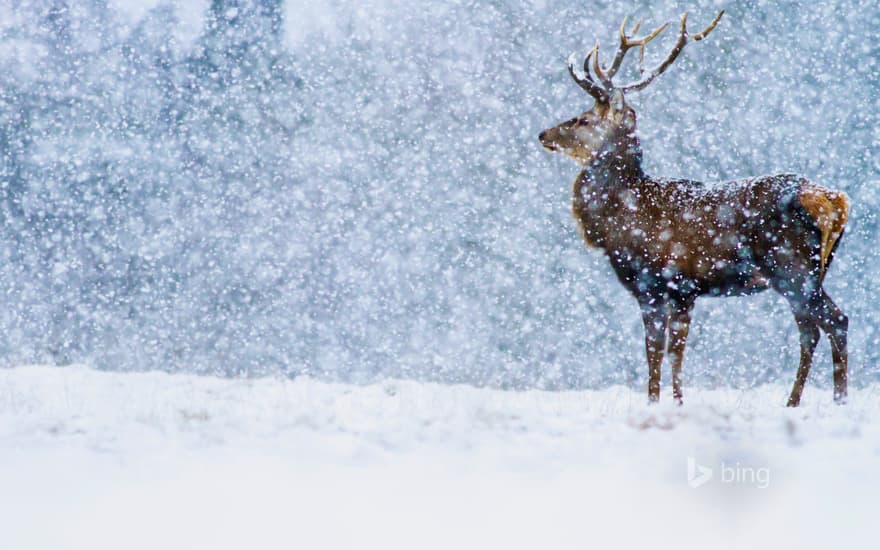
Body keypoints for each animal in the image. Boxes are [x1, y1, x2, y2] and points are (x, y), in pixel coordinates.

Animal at [540, 10, 848, 408]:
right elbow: (675, 353)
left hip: (792, 269)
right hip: (811, 273)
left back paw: (829, 401)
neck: (619, 220)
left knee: (833, 322)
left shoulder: (656, 282)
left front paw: (657, 403)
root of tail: (833, 201)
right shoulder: (684, 292)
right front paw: (675, 402)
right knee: (812, 329)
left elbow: (657, 352)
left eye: (584, 119)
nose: (544, 134)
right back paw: (800, 401)